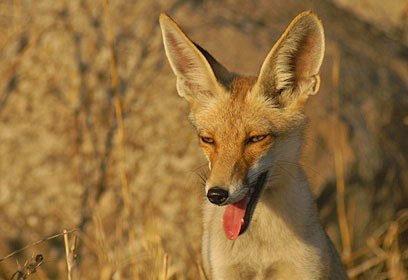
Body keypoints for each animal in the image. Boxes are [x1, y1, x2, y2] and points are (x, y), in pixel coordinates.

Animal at [159, 11, 348, 280]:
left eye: (256, 138)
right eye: (208, 139)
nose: (216, 195)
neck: (259, 254)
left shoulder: (303, 270)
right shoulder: (225, 271)